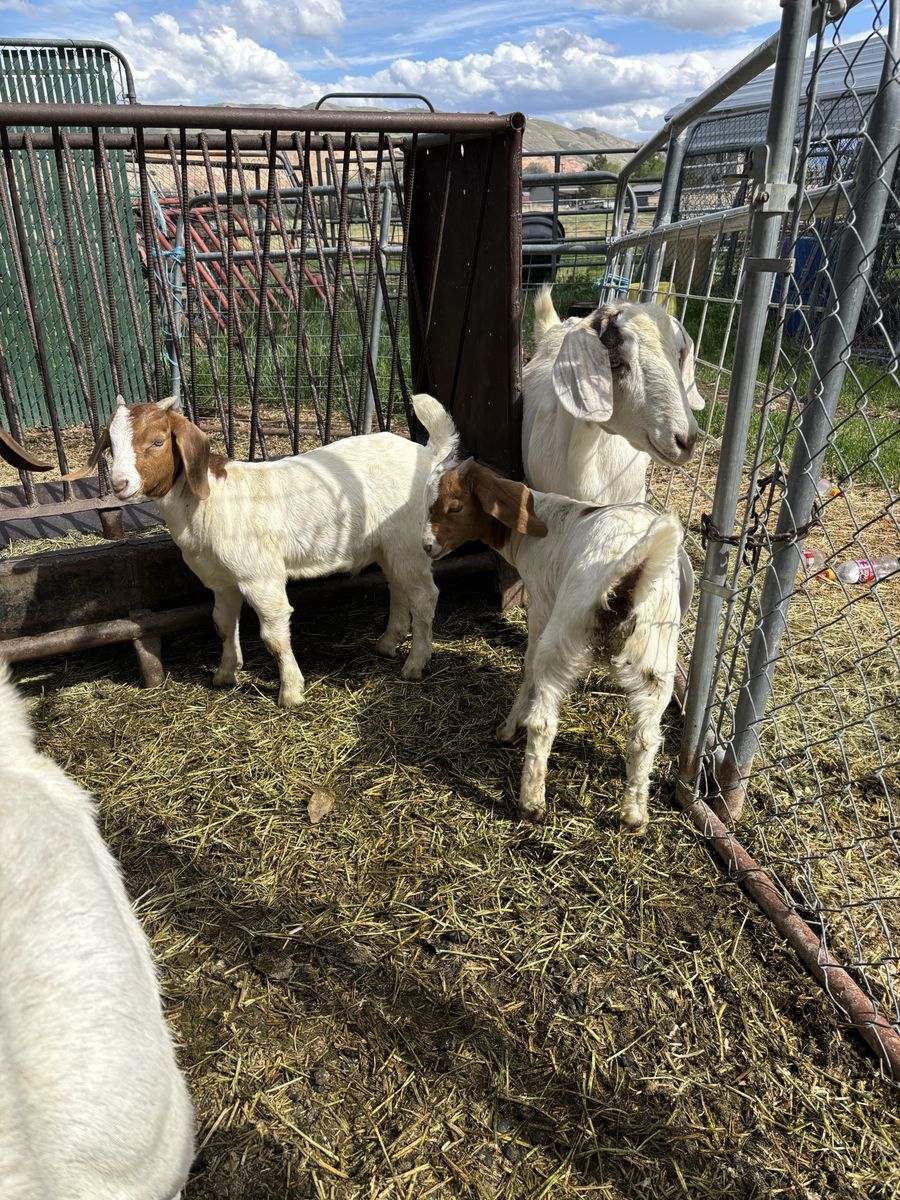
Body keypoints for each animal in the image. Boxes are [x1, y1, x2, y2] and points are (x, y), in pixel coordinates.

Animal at [63, 395, 456, 706]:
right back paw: (387, 643)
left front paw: (291, 692)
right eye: (110, 446)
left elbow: (274, 635)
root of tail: (427, 454)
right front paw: (225, 674)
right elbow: (222, 624)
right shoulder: (221, 580)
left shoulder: (260, 576)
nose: (120, 484)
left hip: (409, 541)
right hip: (390, 546)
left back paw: (414, 664)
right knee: (399, 589)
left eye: (158, 442)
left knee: (425, 596)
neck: (207, 501)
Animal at [415, 396, 682, 832]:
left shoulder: (541, 601)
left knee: (544, 721)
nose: (426, 546)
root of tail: (627, 577)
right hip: (656, 660)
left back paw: (532, 802)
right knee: (644, 737)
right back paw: (634, 814)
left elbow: (526, 668)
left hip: (564, 637)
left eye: (454, 507)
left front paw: (508, 728)